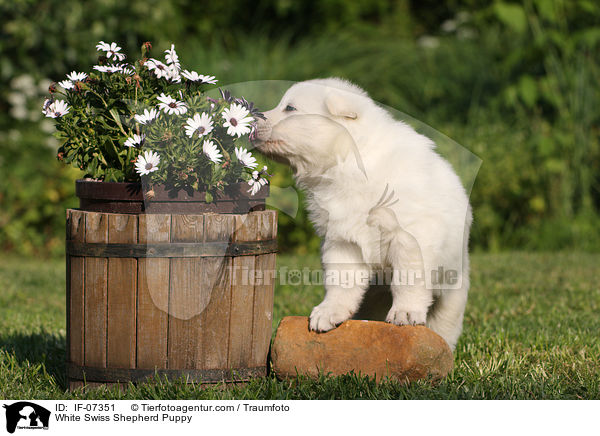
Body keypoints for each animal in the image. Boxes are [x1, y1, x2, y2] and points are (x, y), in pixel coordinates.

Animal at [251, 78, 472, 350]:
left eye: (290, 108)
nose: (251, 121)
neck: (349, 164)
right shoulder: (343, 240)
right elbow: (340, 282)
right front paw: (328, 312)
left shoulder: (411, 236)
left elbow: (408, 278)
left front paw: (405, 313)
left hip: (454, 287)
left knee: (445, 320)